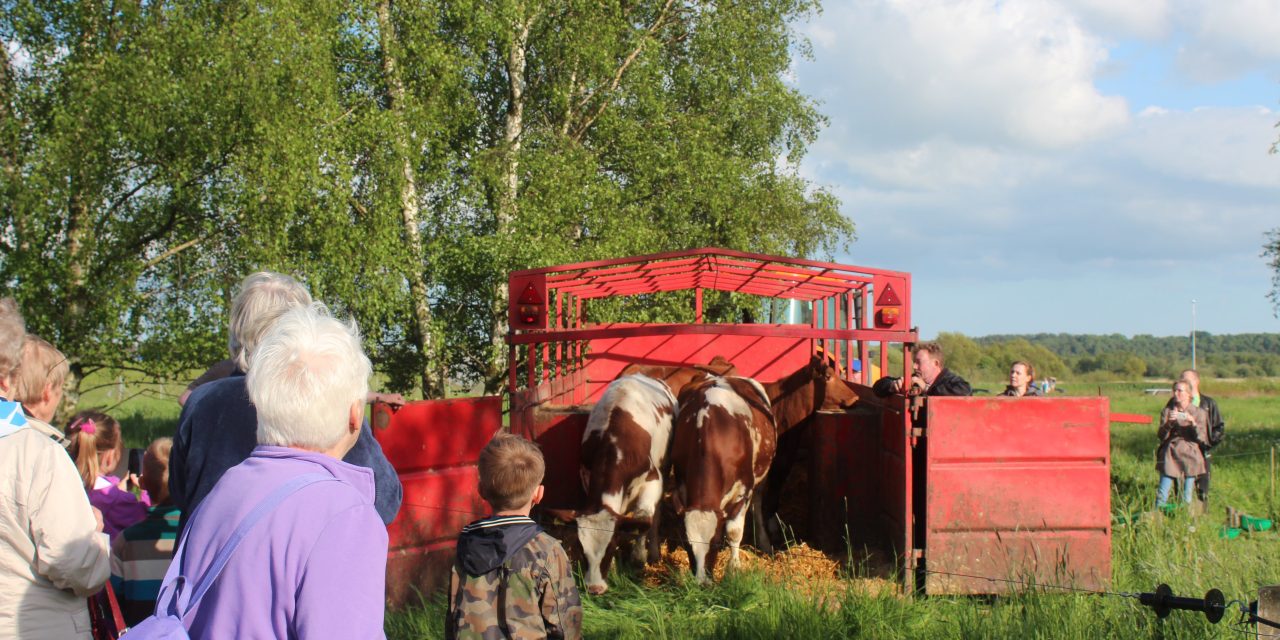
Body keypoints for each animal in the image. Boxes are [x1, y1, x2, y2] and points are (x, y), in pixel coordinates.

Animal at [670, 358, 860, 583]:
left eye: (715, 543)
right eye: (829, 376)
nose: (856, 398)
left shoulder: (749, 485)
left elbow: (735, 529)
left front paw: (734, 568)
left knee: (757, 501)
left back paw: (763, 541)